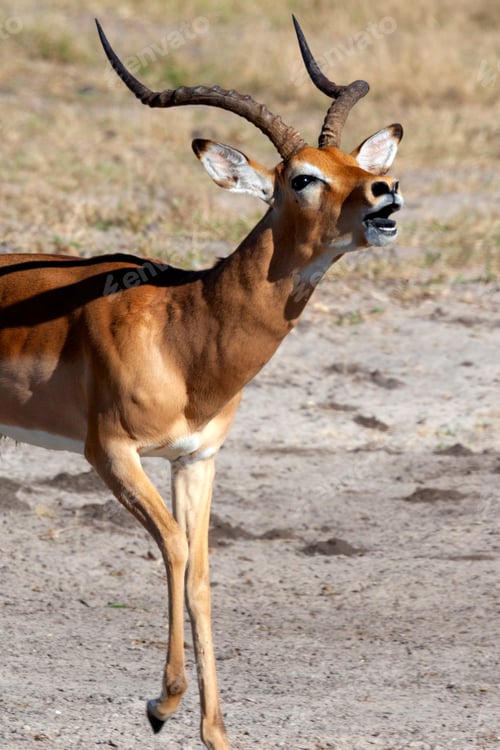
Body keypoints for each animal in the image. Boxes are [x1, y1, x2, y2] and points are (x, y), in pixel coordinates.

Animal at [0, 16, 403, 749]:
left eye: (361, 168)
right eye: (302, 178)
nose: (385, 194)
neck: (183, 330)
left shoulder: (197, 458)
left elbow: (203, 574)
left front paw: (214, 731)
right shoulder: (111, 452)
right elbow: (176, 548)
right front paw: (161, 705)